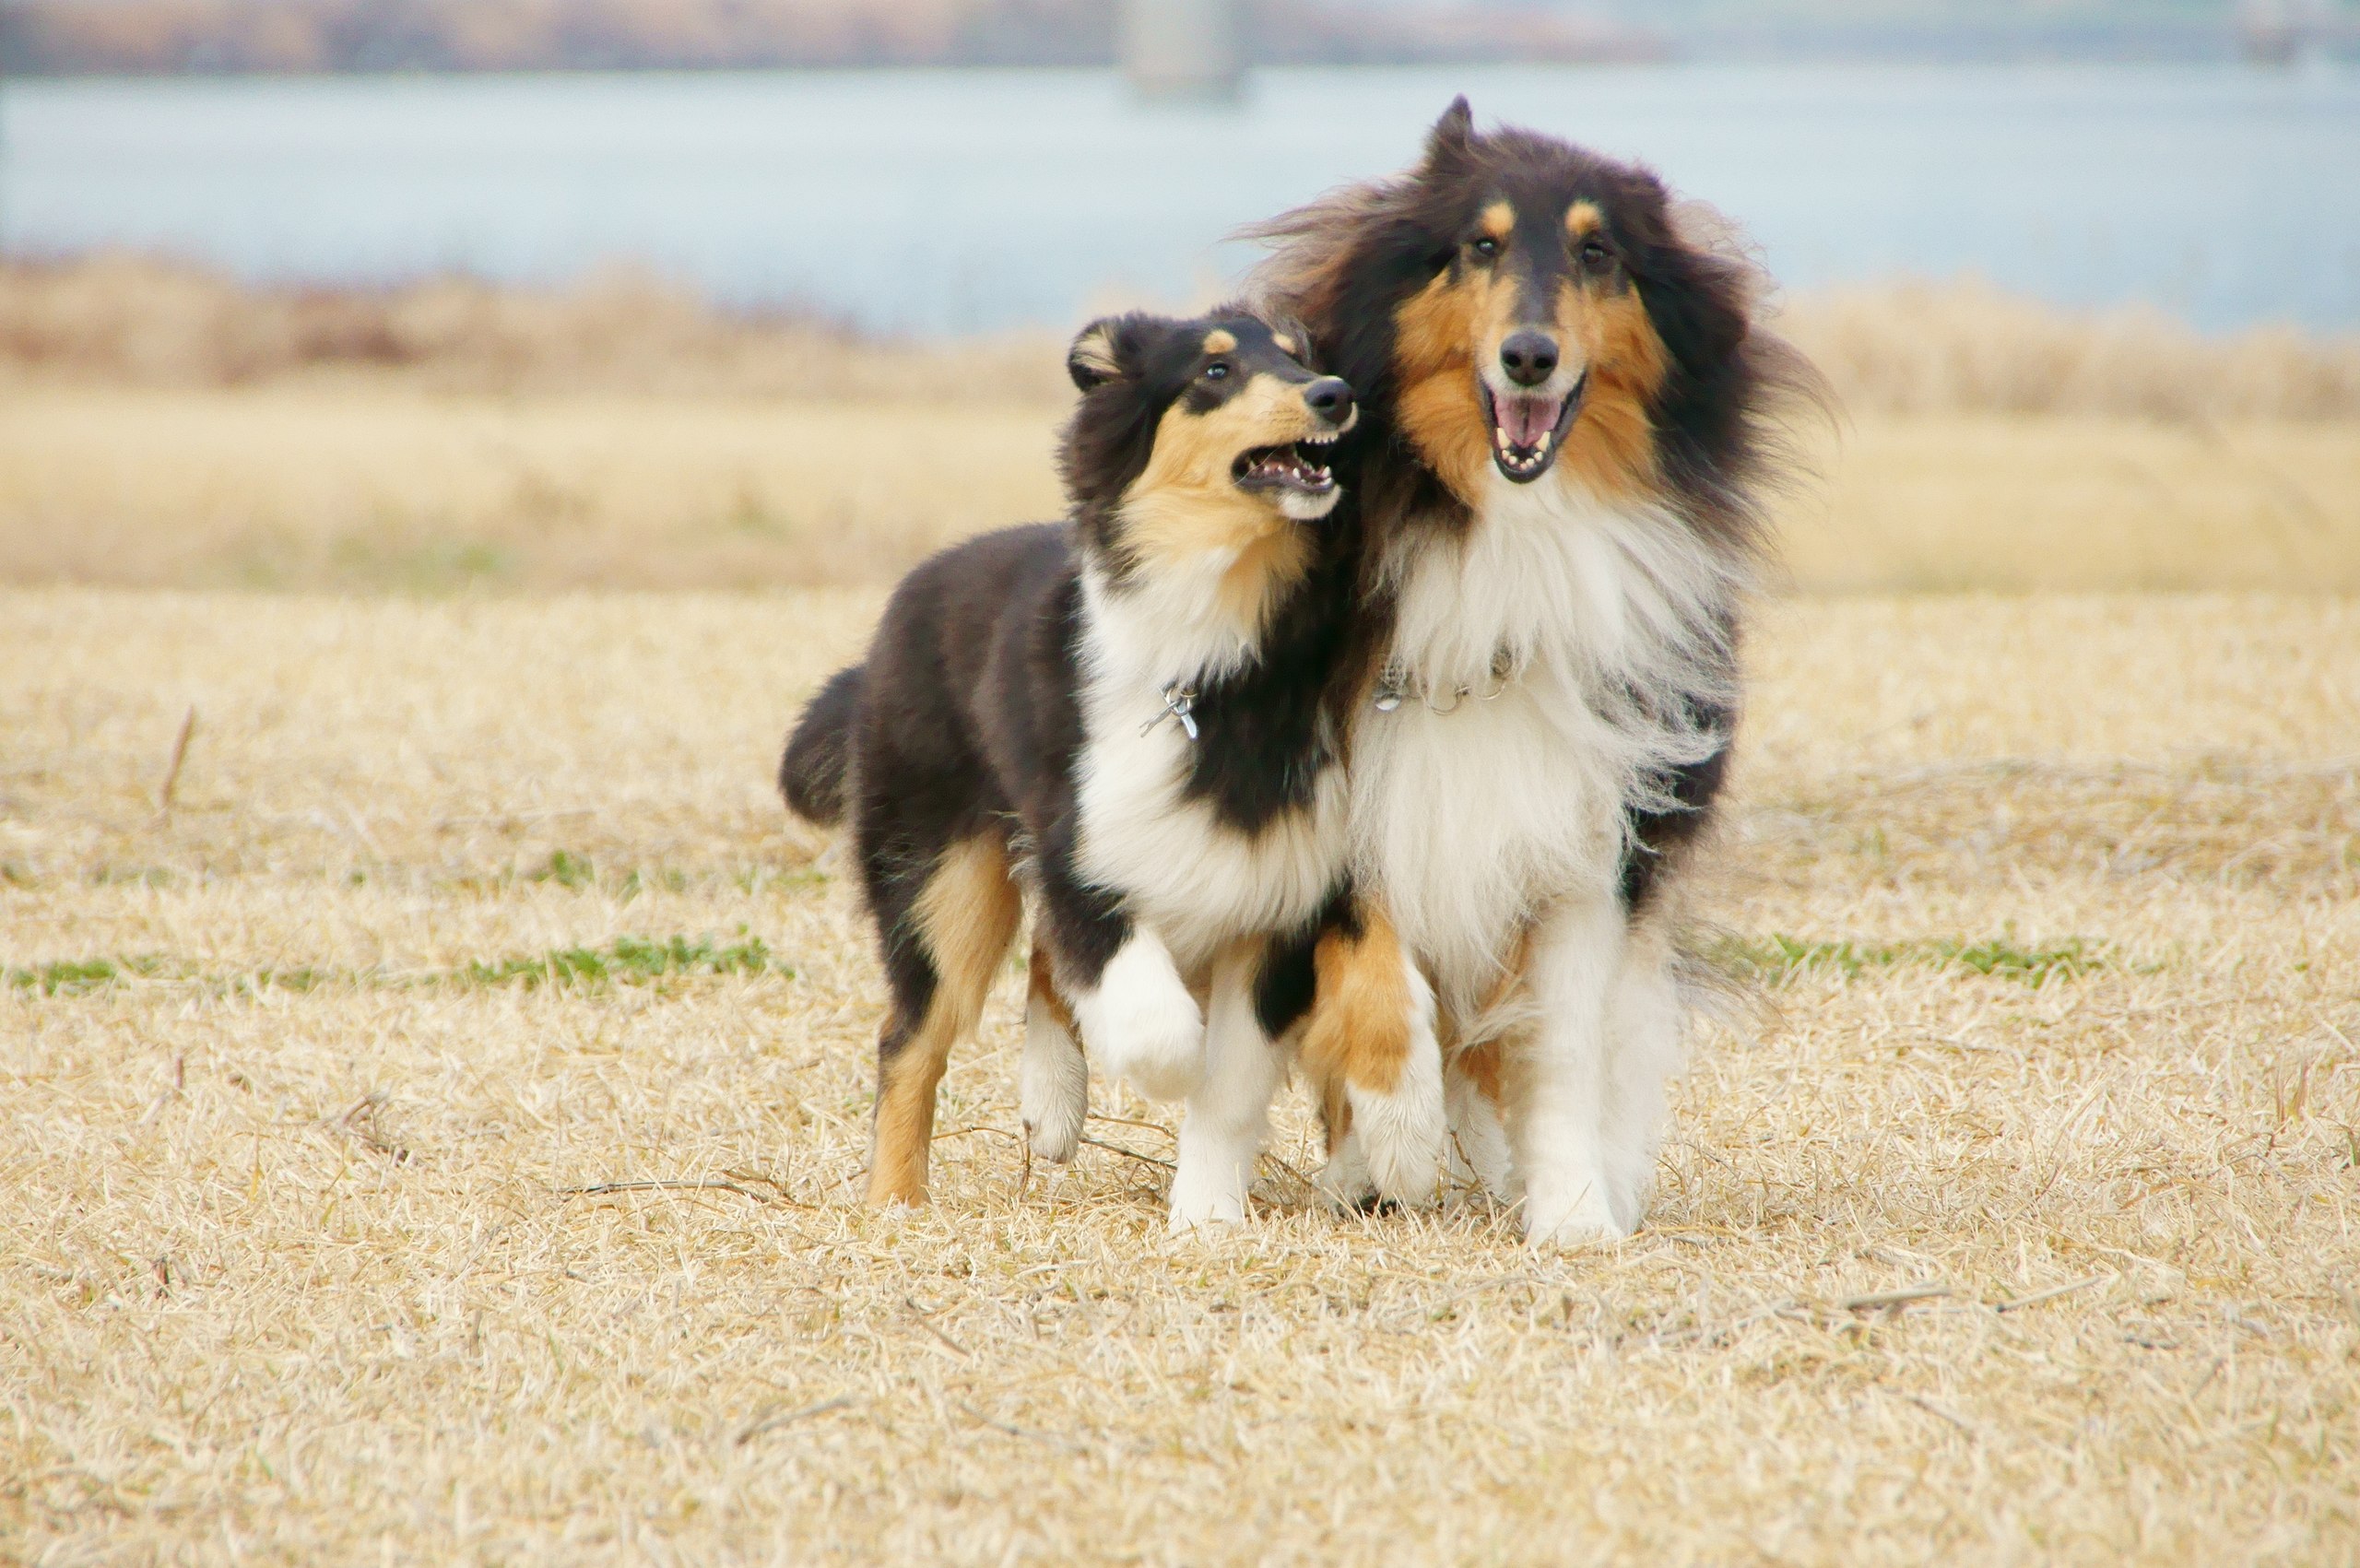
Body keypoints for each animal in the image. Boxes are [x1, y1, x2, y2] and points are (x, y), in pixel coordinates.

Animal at [778, 307, 1434, 1228]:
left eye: (1299, 357)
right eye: (1214, 371)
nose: (1335, 397)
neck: (1220, 636)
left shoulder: (1283, 888)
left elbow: (1232, 1079)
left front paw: (1206, 1217)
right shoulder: (1084, 842)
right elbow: (1160, 1023)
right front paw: (1170, 1070)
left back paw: (1050, 1104)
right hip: (939, 878)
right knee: (912, 1036)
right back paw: (899, 1200)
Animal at [1245, 100, 1812, 1246]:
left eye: (1599, 254)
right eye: (1479, 244)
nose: (1528, 357)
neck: (1512, 528)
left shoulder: (1592, 835)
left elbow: (1560, 1041)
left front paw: (1574, 1212)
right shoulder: (1348, 790)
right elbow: (1379, 973)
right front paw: (1398, 1133)